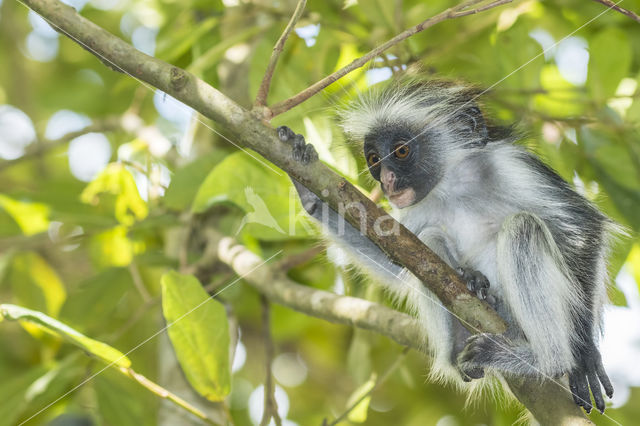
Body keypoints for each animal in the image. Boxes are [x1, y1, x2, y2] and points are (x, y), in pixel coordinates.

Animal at [276, 79, 620, 412]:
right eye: (374, 158)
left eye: (401, 151)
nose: (386, 181)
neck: (453, 184)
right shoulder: (418, 203)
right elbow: (395, 262)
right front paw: (309, 193)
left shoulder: (510, 165)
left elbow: (583, 226)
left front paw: (586, 355)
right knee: (430, 240)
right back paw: (470, 302)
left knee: (523, 227)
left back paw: (547, 360)